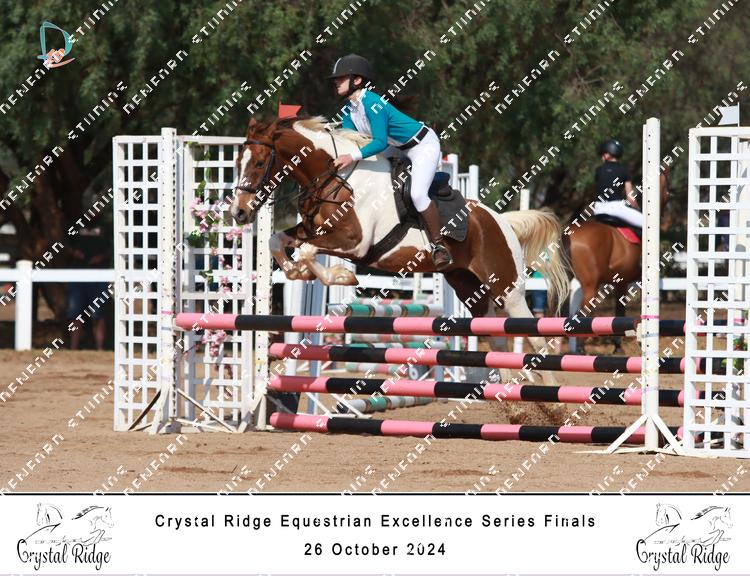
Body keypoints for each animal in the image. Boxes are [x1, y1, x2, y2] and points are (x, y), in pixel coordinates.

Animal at [231, 116, 572, 422]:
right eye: (236, 161)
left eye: (259, 162)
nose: (239, 212)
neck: (335, 177)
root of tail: (500, 221)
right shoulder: (314, 231)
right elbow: (277, 240)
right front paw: (296, 272)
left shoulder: (353, 243)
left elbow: (307, 250)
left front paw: (340, 275)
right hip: (468, 286)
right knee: (496, 336)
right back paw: (515, 408)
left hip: (506, 287)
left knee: (535, 338)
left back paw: (555, 406)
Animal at [566, 169, 670, 352]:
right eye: (667, 192)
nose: (665, 213)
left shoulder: (621, 282)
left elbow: (619, 312)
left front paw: (618, 346)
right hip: (591, 286)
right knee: (582, 314)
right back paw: (581, 349)